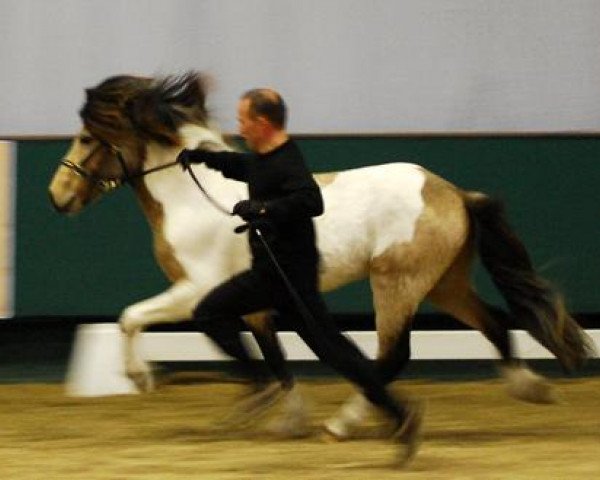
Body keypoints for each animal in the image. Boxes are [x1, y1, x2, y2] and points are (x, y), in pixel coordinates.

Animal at [48, 72, 592, 438]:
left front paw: (140, 377)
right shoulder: (260, 303)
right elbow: (273, 355)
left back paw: (347, 423)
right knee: (495, 323)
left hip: (396, 284)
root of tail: (455, 194)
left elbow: (131, 318)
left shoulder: (197, 290)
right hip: (444, 283)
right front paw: (283, 415)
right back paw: (531, 388)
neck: (194, 200)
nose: (58, 196)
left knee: (392, 354)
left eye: (88, 137)